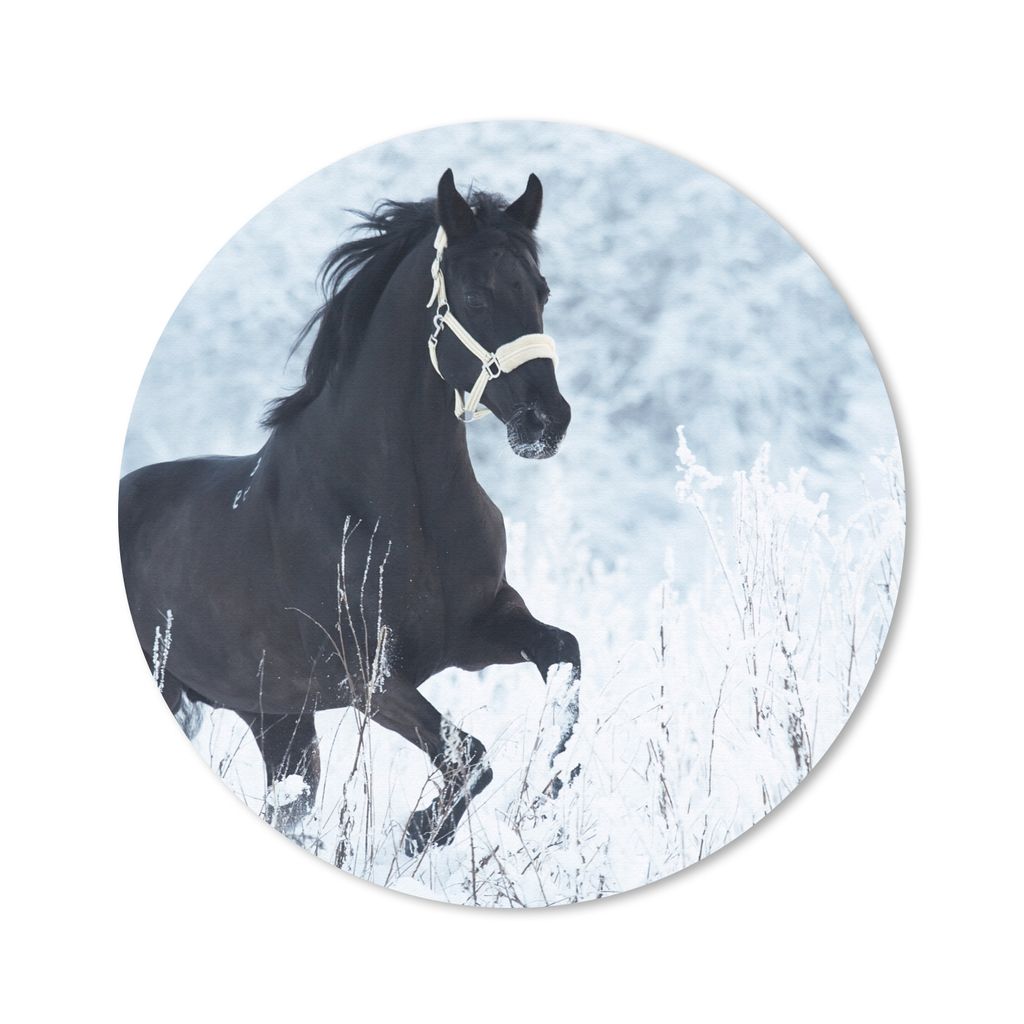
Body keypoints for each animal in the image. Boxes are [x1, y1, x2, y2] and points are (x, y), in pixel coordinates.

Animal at [119, 169, 580, 853]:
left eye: (541, 290)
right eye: (475, 295)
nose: (545, 421)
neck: (401, 508)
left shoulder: (481, 631)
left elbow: (565, 658)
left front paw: (545, 795)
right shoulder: (366, 675)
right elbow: (469, 756)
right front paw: (419, 832)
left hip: (277, 720)